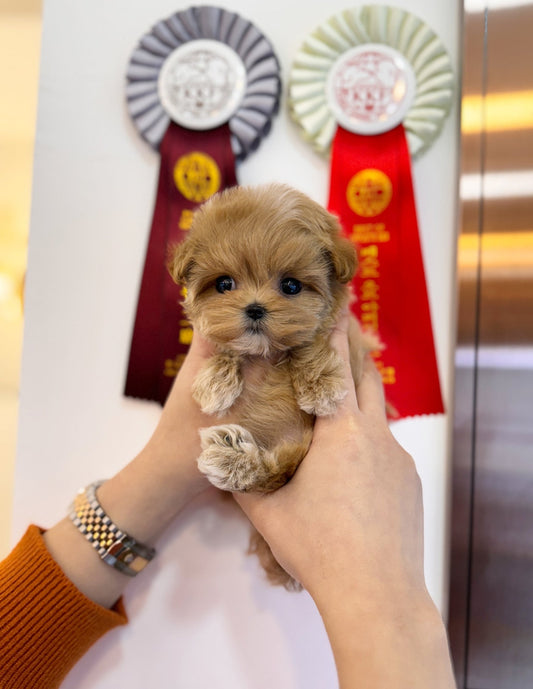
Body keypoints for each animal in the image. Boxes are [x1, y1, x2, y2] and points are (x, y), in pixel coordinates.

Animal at [170, 184, 370, 592]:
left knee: (276, 472)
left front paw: (320, 385)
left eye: (291, 285)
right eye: (224, 284)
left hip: (296, 452)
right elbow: (226, 348)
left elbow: (308, 344)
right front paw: (215, 381)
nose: (255, 308)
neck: (266, 353)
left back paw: (230, 459)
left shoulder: (350, 344)